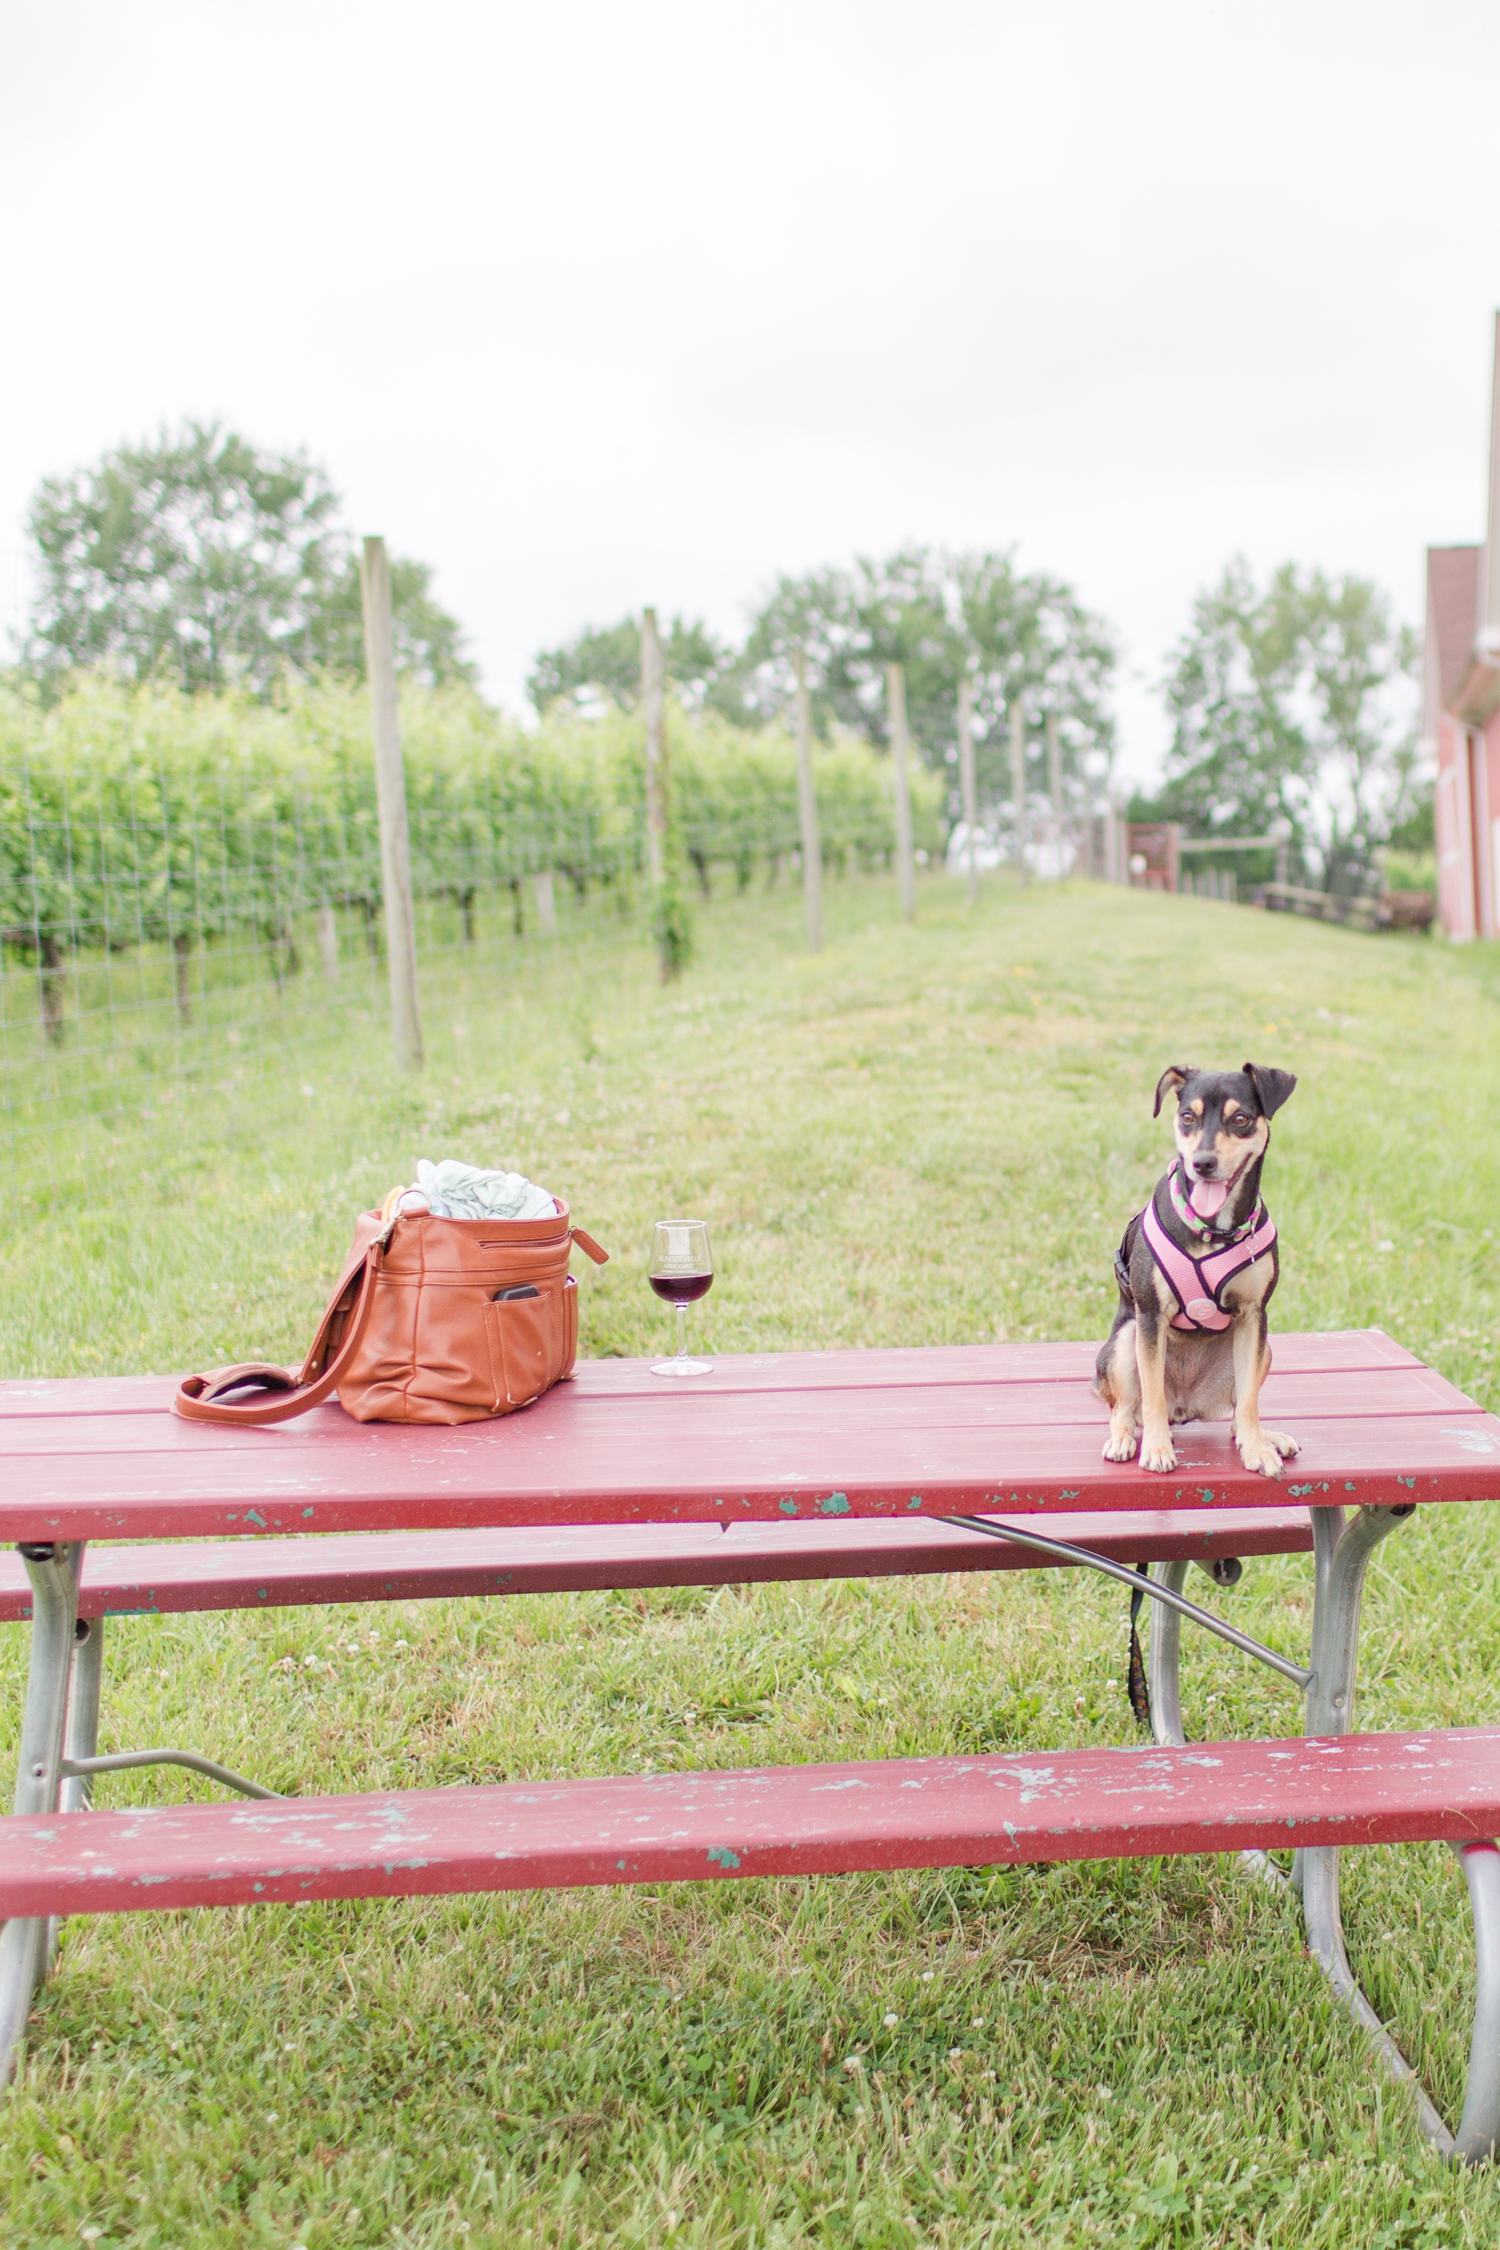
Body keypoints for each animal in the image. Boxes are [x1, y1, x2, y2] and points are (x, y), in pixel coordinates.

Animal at [1097, 1057, 1295, 1476]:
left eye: (1241, 1119)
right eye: (1187, 1116)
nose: (1203, 1163)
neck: (1212, 1229)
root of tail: (1186, 1406)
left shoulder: (1254, 1315)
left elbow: (1249, 1401)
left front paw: (1257, 1449)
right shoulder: (1150, 1316)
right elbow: (1151, 1395)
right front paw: (1157, 1449)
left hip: (1264, 1350)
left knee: (1237, 1414)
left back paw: (1267, 1438)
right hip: (1125, 1341)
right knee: (1126, 1409)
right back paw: (1124, 1440)